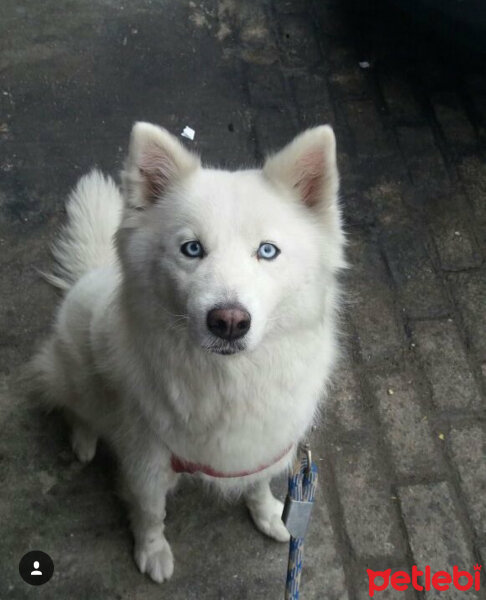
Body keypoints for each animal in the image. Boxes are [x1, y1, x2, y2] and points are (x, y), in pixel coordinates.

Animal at [32, 122, 346, 580]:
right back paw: (84, 440)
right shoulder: (146, 462)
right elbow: (150, 514)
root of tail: (91, 274)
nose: (229, 321)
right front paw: (151, 552)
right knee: (74, 407)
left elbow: (257, 484)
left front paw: (270, 514)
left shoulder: (264, 444)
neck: (228, 381)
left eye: (267, 251)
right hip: (77, 371)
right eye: (192, 249)